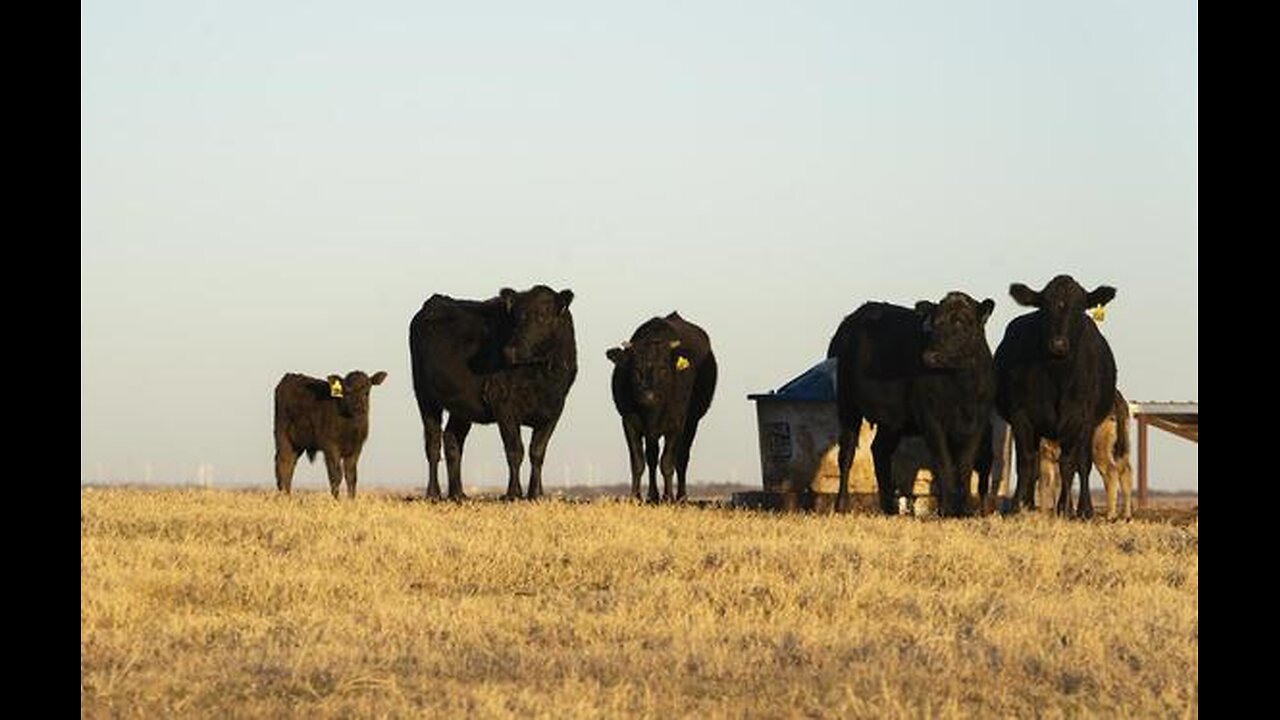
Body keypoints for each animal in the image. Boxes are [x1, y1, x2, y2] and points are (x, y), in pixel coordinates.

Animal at [272, 366, 386, 497]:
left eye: (367, 391)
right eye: (347, 391)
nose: (358, 407)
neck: (350, 426)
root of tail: (289, 376)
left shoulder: (356, 448)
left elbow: (351, 476)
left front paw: (351, 499)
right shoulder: (331, 447)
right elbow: (336, 475)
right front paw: (336, 499)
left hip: (297, 444)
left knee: (290, 465)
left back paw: (287, 494)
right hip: (282, 436)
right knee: (283, 463)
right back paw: (284, 495)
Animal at [407, 283, 578, 497]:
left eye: (542, 317)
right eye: (516, 318)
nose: (510, 350)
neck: (542, 377)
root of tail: (436, 300)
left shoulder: (554, 410)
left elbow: (537, 452)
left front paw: (536, 493)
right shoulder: (503, 405)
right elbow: (515, 450)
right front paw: (513, 493)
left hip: (461, 406)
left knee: (452, 441)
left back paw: (458, 494)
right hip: (425, 396)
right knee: (433, 444)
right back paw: (433, 493)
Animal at [604, 311, 716, 502]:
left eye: (664, 369)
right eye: (635, 370)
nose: (649, 396)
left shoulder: (677, 424)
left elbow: (667, 462)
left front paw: (668, 497)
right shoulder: (629, 422)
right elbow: (639, 462)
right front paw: (637, 497)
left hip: (692, 422)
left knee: (682, 458)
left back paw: (681, 497)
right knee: (652, 457)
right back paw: (653, 495)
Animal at [829, 292, 998, 515]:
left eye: (960, 322)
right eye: (933, 323)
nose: (930, 356)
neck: (962, 387)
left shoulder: (977, 422)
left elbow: (964, 465)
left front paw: (963, 510)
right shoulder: (931, 419)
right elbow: (944, 461)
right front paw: (947, 509)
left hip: (892, 421)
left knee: (880, 450)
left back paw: (889, 508)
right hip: (848, 404)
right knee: (846, 453)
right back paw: (842, 505)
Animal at [993, 271, 1116, 512]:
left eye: (1079, 308)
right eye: (1044, 307)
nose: (1058, 344)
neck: (1057, 376)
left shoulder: (1081, 418)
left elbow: (1070, 464)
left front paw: (1067, 508)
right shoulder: (1022, 416)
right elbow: (1026, 462)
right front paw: (1017, 506)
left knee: (1082, 463)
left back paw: (1083, 509)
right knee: (1035, 464)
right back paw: (1029, 504)